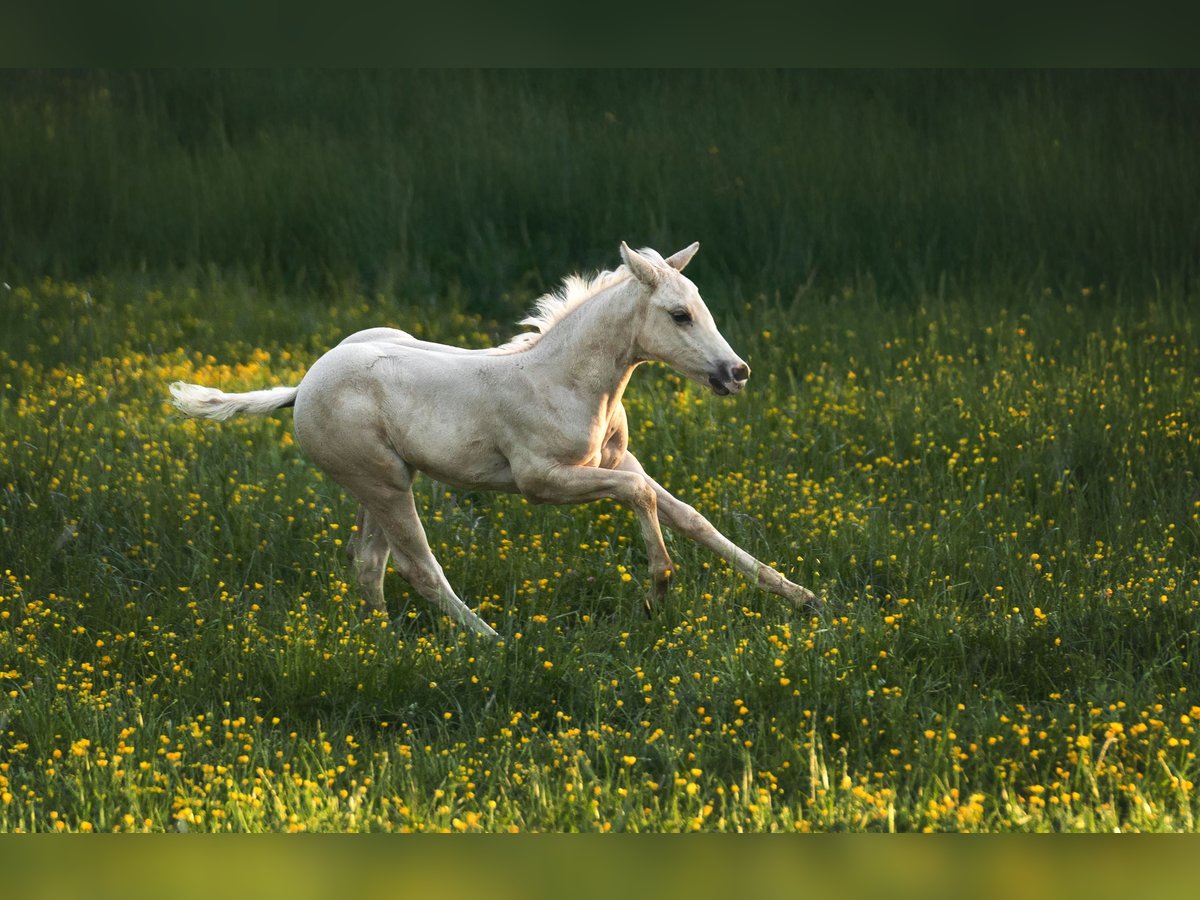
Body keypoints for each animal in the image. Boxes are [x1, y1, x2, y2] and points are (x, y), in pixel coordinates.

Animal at [170, 242, 819, 639]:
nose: (736, 372)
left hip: (382, 480)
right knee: (418, 567)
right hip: (382, 483)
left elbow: (689, 516)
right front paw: (657, 591)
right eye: (679, 314)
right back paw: (491, 641)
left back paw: (380, 643)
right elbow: (641, 497)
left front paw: (803, 596)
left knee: (368, 563)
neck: (569, 381)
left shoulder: (617, 459)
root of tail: (304, 383)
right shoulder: (542, 482)